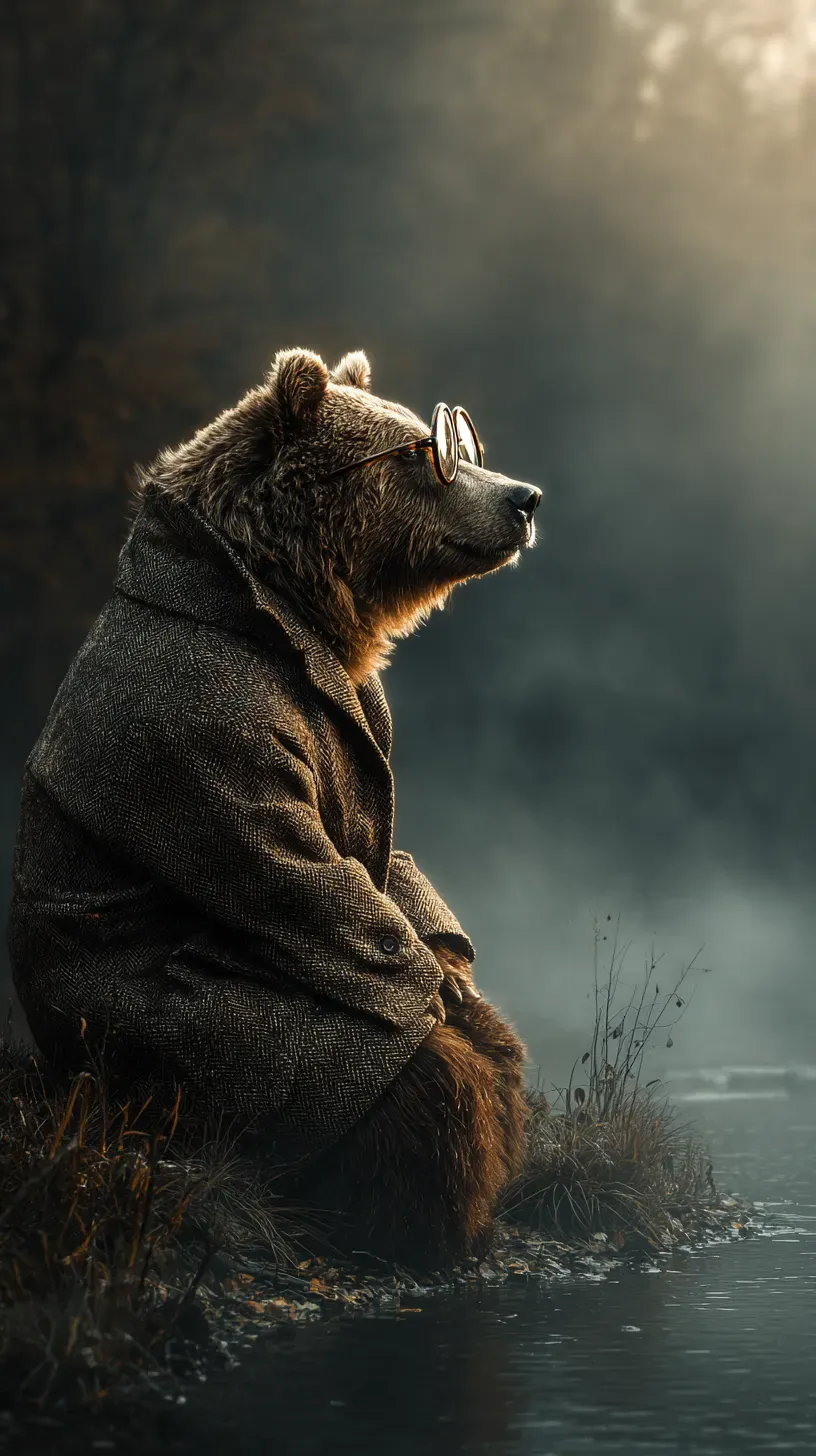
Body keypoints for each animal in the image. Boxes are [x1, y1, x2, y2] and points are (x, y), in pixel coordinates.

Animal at [7, 348, 542, 1269]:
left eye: (455, 443)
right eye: (421, 453)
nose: (524, 497)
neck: (287, 609)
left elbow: (389, 863)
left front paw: (459, 980)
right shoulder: (207, 726)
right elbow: (286, 867)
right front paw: (436, 998)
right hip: (175, 1069)